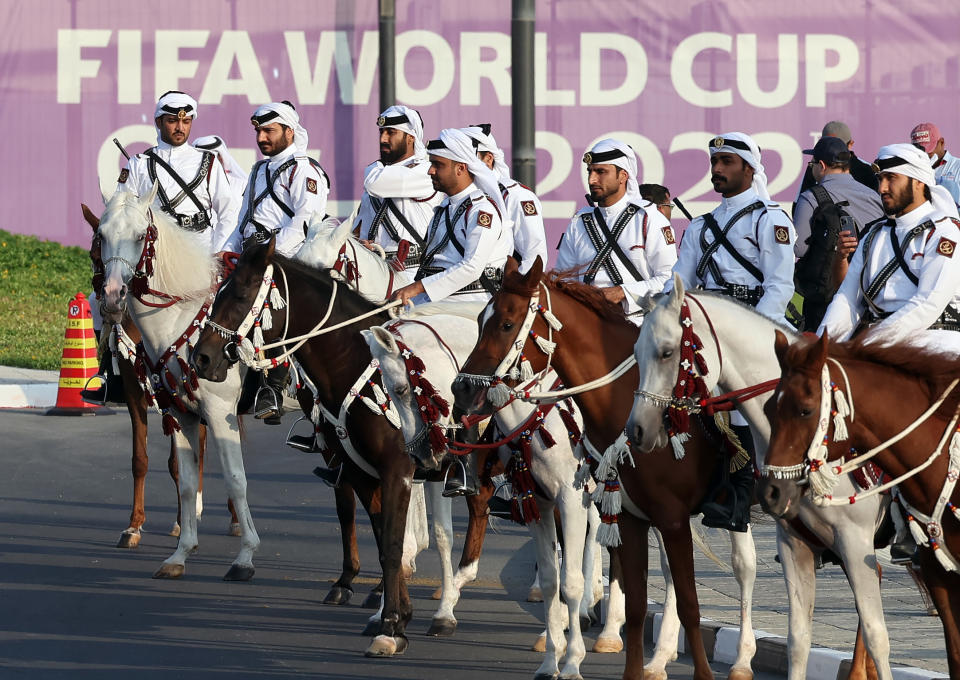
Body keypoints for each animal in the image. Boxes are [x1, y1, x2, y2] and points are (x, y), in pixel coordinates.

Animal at [96, 186, 258, 580]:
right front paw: (179, 551)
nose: (113, 297)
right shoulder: (177, 409)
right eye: (100, 236)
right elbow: (180, 478)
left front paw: (246, 556)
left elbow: (235, 478)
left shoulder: (218, 411)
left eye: (141, 235)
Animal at [192, 238, 498, 652]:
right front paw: (394, 616)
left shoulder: (398, 473)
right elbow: (385, 542)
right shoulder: (360, 472)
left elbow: (394, 544)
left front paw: (391, 626)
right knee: (469, 511)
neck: (358, 367)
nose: (202, 357)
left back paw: (455, 603)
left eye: (241, 294)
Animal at [450, 258, 756, 680]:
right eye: (481, 319)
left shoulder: (578, 497)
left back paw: (739, 660)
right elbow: (554, 579)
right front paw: (552, 658)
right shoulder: (548, 503)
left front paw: (572, 660)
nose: (461, 389)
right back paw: (657, 656)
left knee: (744, 567)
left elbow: (574, 580)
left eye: (507, 324)